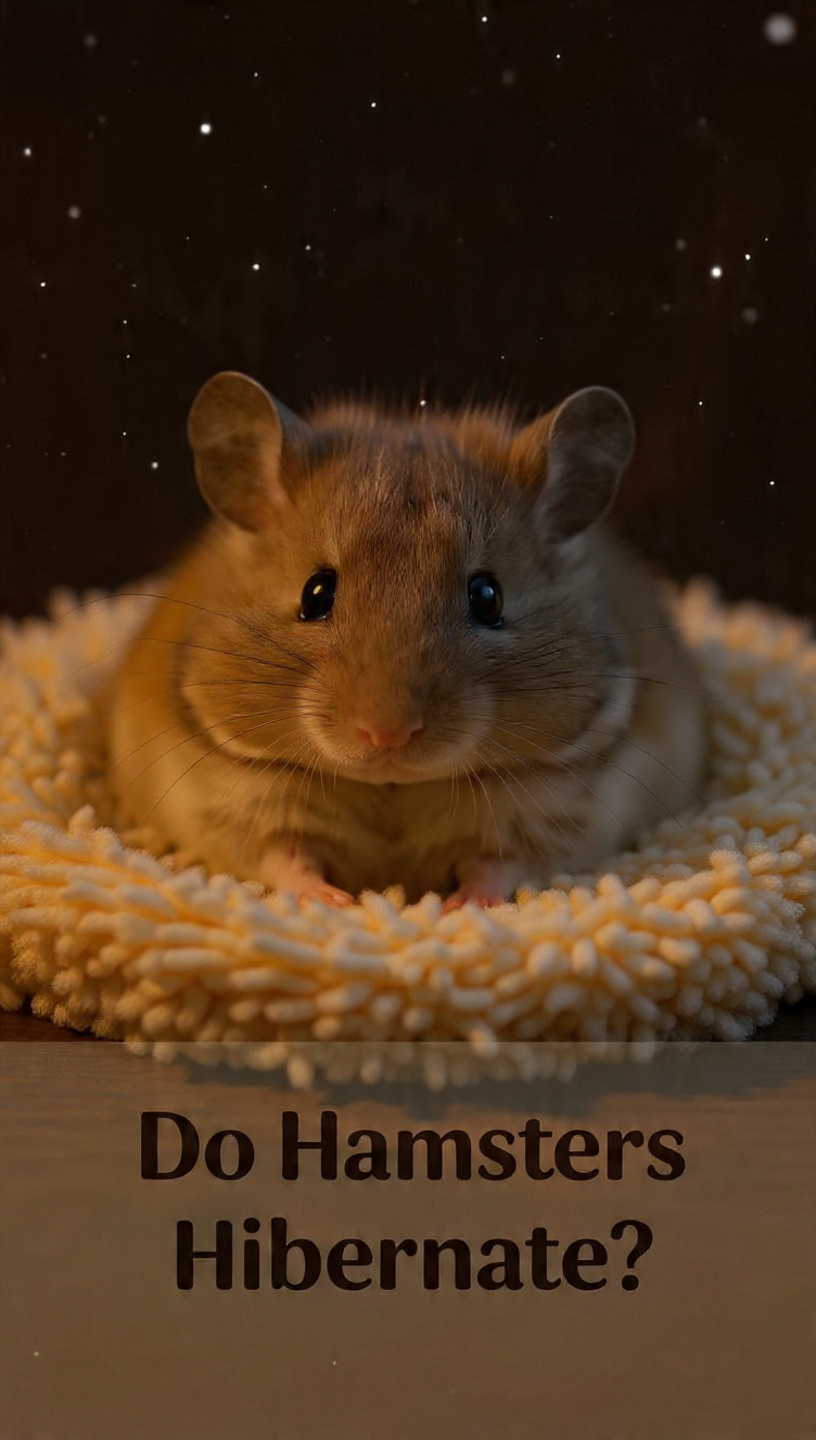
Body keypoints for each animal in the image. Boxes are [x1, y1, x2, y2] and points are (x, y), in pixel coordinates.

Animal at [106, 371, 706, 909]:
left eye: (488, 597)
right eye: (315, 592)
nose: (386, 735)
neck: (392, 787)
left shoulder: (554, 817)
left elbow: (497, 866)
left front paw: (457, 907)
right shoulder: (236, 807)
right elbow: (287, 859)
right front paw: (337, 902)